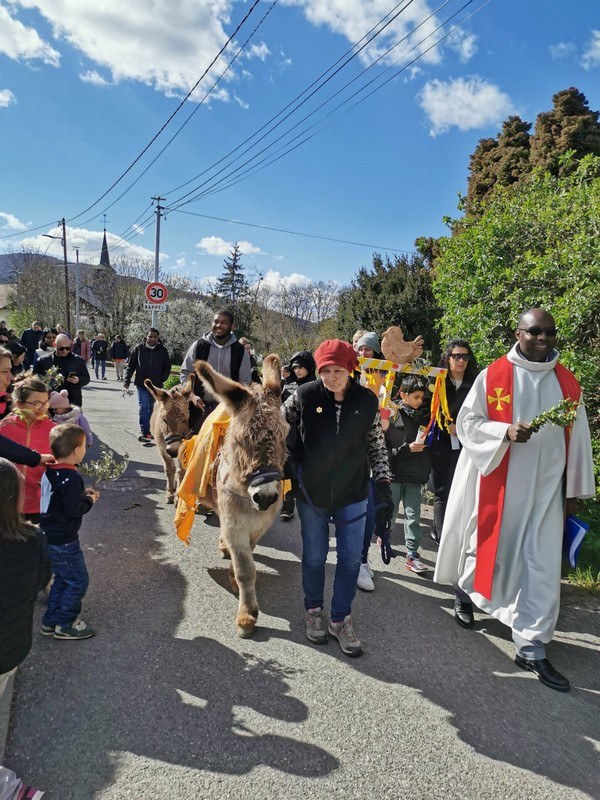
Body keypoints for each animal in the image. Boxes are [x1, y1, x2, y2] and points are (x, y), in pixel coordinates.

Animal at [193, 354, 288, 638]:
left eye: (285, 436)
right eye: (240, 440)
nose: (266, 497)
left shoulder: (260, 524)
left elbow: (249, 552)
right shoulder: (235, 523)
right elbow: (246, 570)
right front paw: (247, 617)